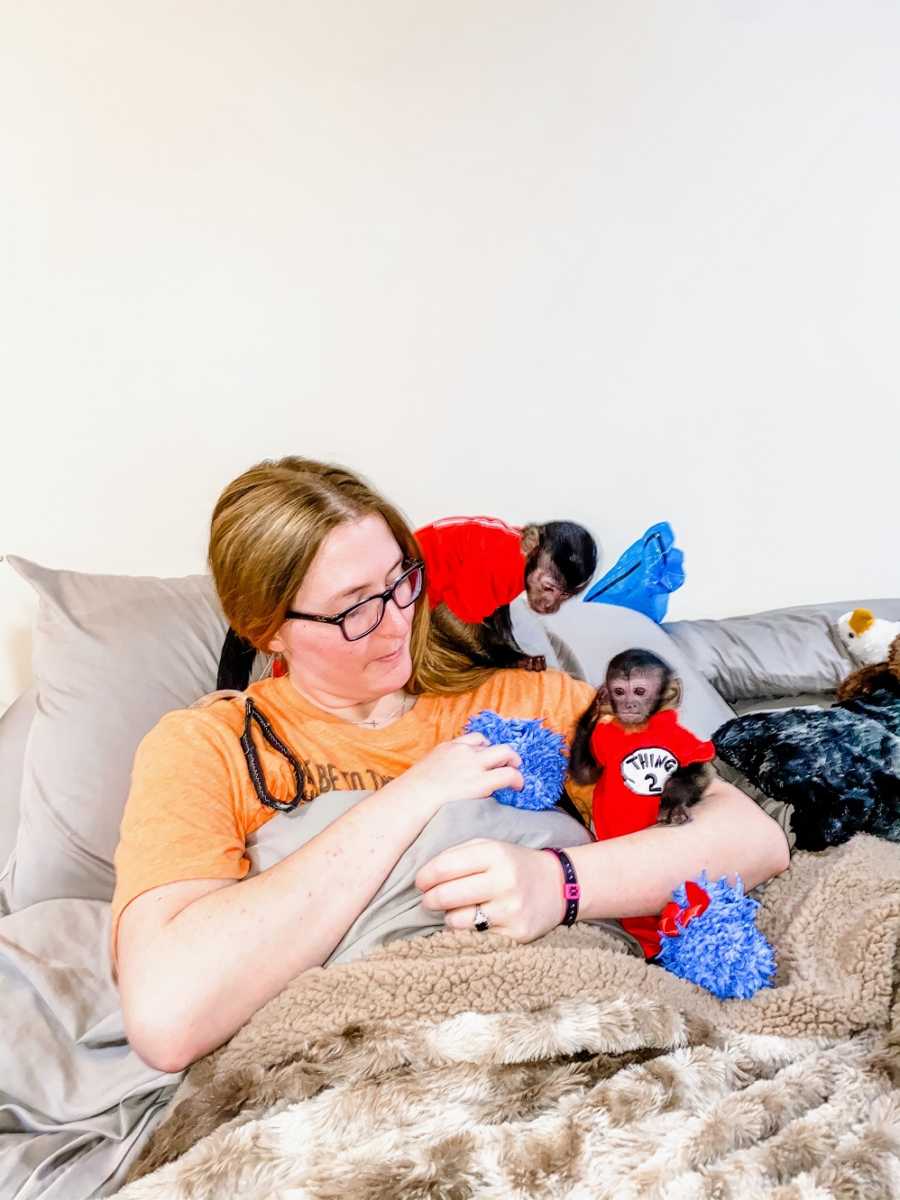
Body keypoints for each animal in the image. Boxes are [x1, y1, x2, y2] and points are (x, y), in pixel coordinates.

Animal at [573, 648, 715, 825]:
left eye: (639, 691)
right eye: (619, 691)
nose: (628, 705)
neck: (639, 728)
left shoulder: (683, 736)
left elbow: (700, 770)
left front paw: (673, 803)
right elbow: (584, 773)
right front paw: (595, 709)